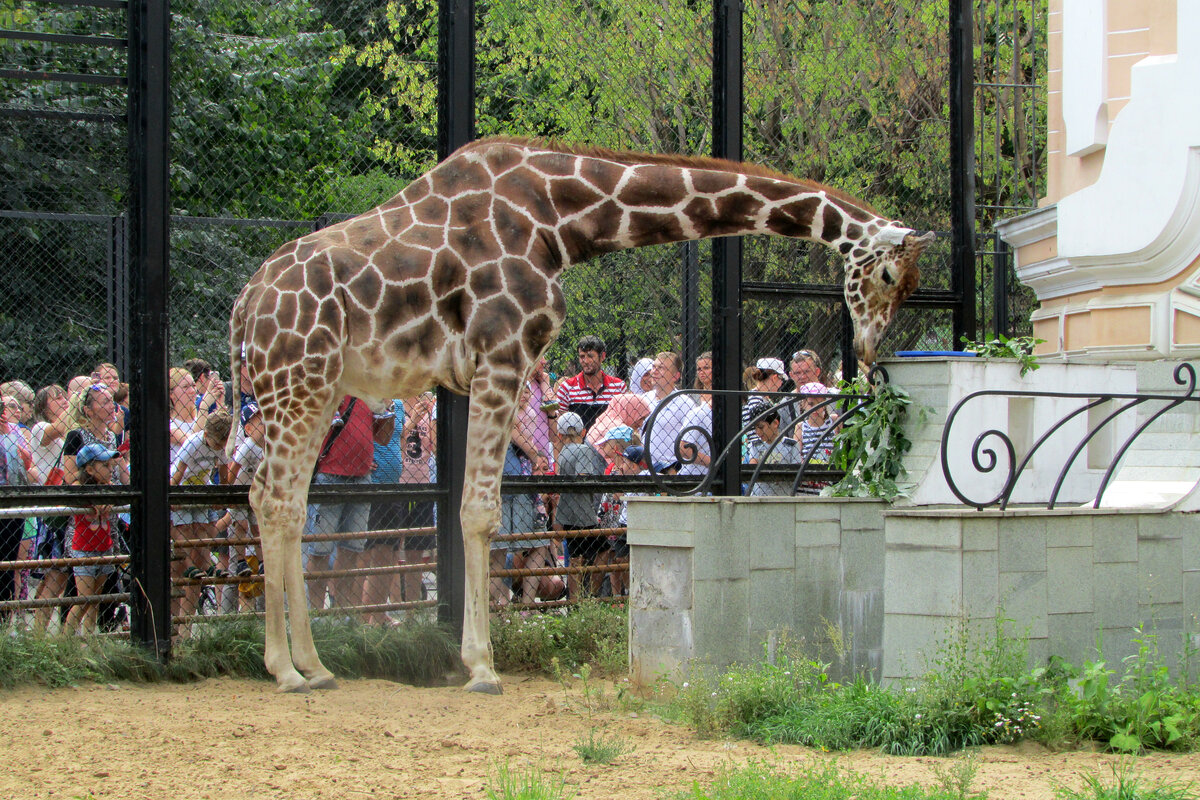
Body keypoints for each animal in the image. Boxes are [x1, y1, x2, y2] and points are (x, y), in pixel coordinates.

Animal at [226, 137, 936, 695]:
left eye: (910, 285)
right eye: (887, 275)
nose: (869, 352)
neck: (562, 221)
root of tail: (244, 307)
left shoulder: (493, 366)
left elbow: (470, 507)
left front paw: (475, 660)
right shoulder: (502, 356)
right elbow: (480, 511)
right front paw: (481, 668)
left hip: (316, 388)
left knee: (278, 497)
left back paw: (313, 666)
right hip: (298, 380)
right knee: (279, 498)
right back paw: (287, 671)